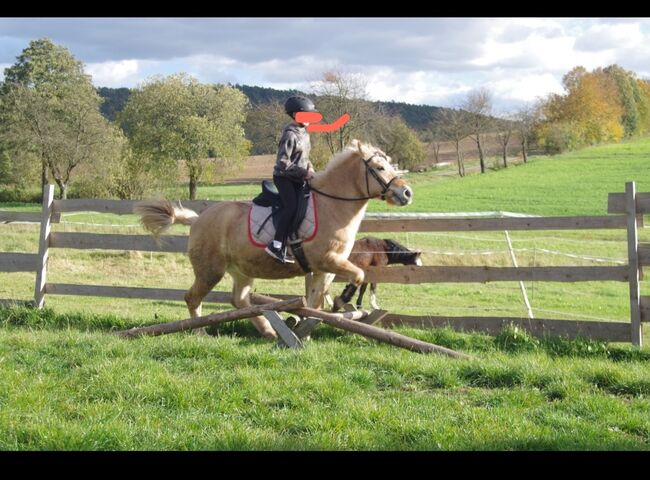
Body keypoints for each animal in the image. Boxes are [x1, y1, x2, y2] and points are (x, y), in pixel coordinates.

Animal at [134, 141, 412, 340]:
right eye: (379, 168)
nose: (407, 193)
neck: (332, 205)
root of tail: (197, 220)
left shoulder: (326, 269)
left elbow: (316, 300)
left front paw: (305, 330)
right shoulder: (328, 260)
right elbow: (358, 277)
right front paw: (342, 302)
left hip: (241, 271)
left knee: (239, 300)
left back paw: (268, 330)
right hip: (210, 270)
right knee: (193, 298)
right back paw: (200, 332)